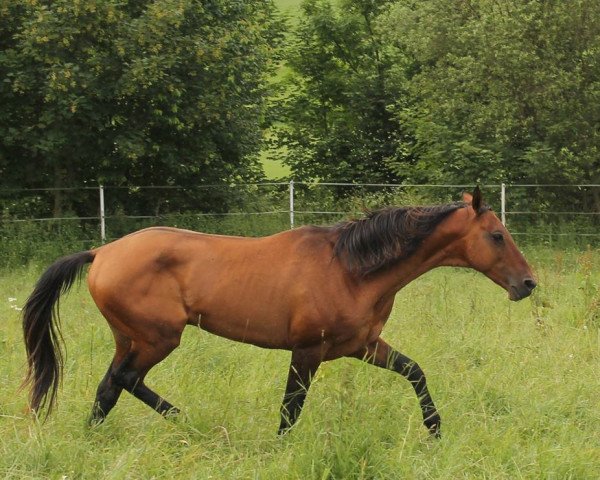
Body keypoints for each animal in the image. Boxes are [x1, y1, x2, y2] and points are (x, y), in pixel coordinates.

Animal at [21, 188, 536, 438]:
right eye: (496, 235)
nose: (528, 283)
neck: (350, 269)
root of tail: (101, 252)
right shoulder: (307, 351)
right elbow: (291, 408)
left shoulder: (363, 346)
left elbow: (415, 371)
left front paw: (435, 430)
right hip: (157, 338)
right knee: (126, 381)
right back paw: (188, 420)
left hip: (130, 337)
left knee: (108, 387)